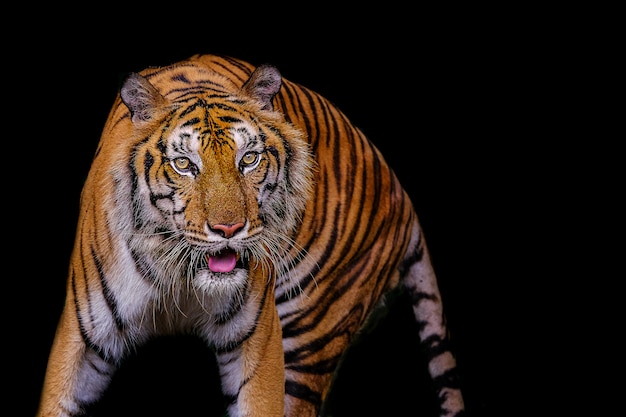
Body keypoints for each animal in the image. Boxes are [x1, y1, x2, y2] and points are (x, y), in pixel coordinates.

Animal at [35, 54, 464, 416]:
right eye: (184, 164)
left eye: (249, 159)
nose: (228, 229)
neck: (182, 276)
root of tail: (402, 194)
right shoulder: (81, 336)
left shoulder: (257, 340)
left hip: (313, 332)